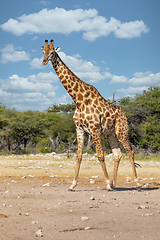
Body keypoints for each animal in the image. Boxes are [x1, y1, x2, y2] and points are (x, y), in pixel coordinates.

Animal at [41, 39, 141, 191]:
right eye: (43, 51)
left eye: (52, 52)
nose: (44, 61)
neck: (78, 100)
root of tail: (124, 113)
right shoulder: (79, 129)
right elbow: (78, 156)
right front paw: (72, 185)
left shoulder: (94, 129)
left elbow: (100, 155)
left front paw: (107, 184)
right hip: (111, 134)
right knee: (118, 154)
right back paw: (115, 183)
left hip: (122, 131)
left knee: (130, 151)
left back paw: (137, 183)